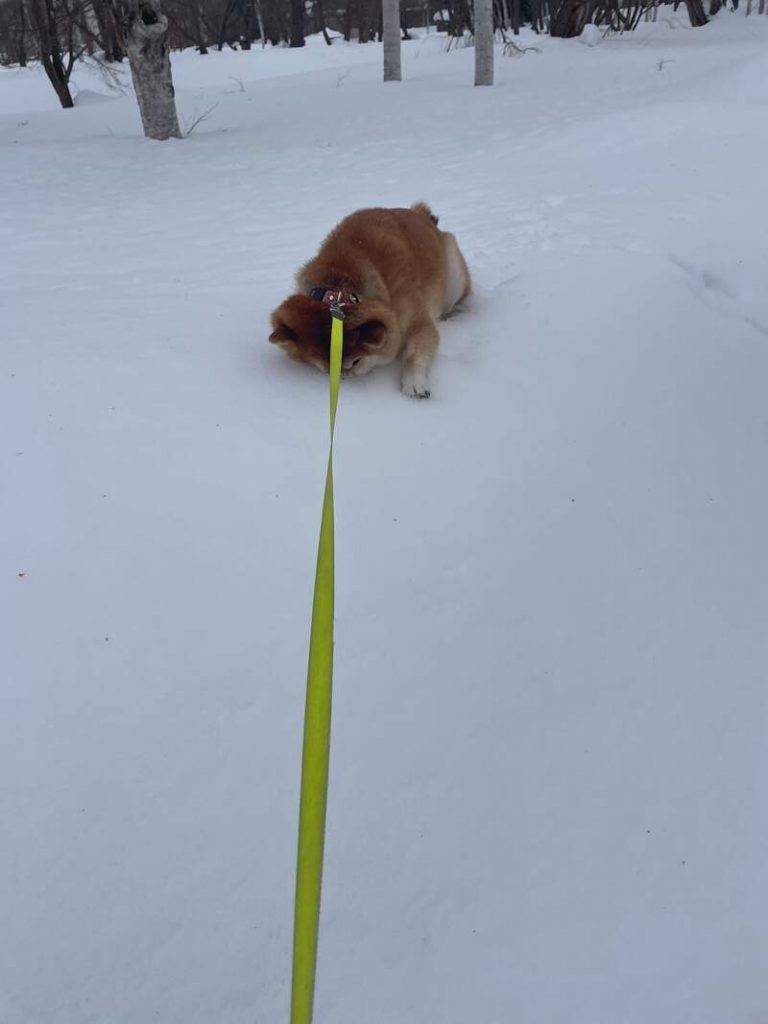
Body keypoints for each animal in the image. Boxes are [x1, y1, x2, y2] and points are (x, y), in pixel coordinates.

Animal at [268, 203, 473, 399]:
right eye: (327, 369)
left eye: (355, 362)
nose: (343, 379)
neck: (340, 287)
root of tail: (420, 213)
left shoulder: (419, 323)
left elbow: (414, 353)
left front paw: (414, 383)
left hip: (454, 279)